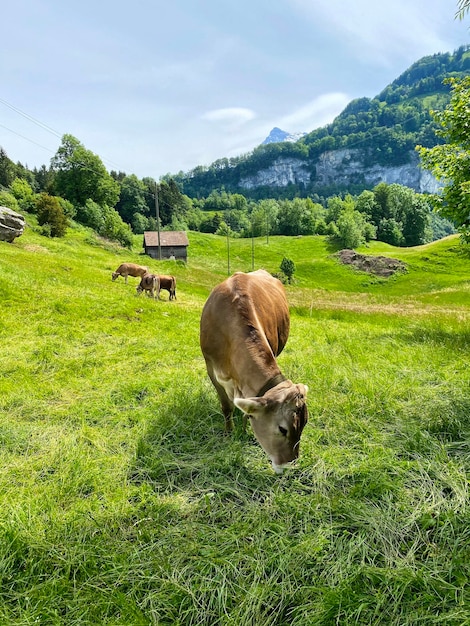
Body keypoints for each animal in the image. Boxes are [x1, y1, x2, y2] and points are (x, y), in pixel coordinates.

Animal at [199, 270, 306, 472]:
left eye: (304, 424)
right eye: (283, 429)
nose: (290, 464)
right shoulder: (211, 367)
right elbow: (227, 407)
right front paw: (229, 432)